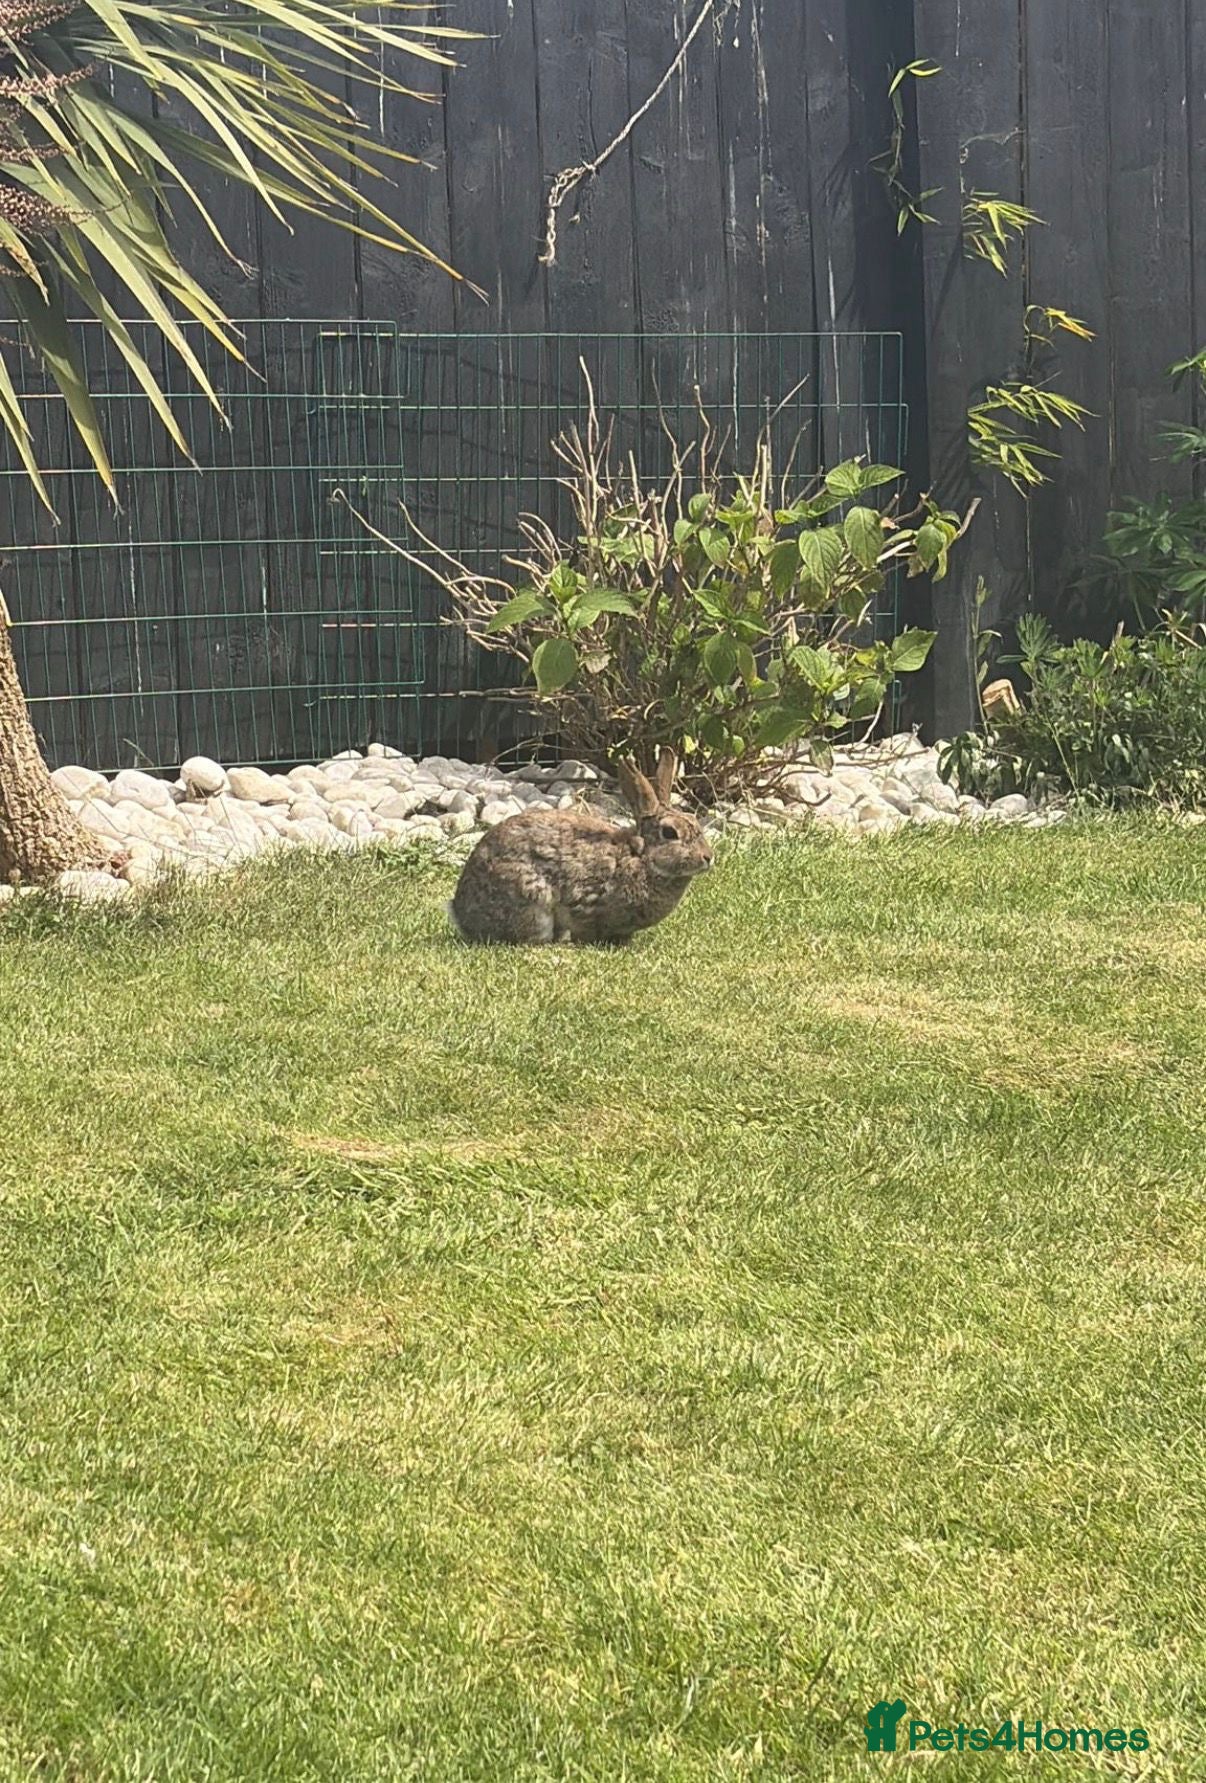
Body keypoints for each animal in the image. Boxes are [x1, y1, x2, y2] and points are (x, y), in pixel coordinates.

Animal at [447, 747, 713, 946]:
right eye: (669, 833)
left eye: (693, 819)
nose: (708, 857)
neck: (640, 856)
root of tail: (461, 914)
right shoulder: (585, 905)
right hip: (532, 902)